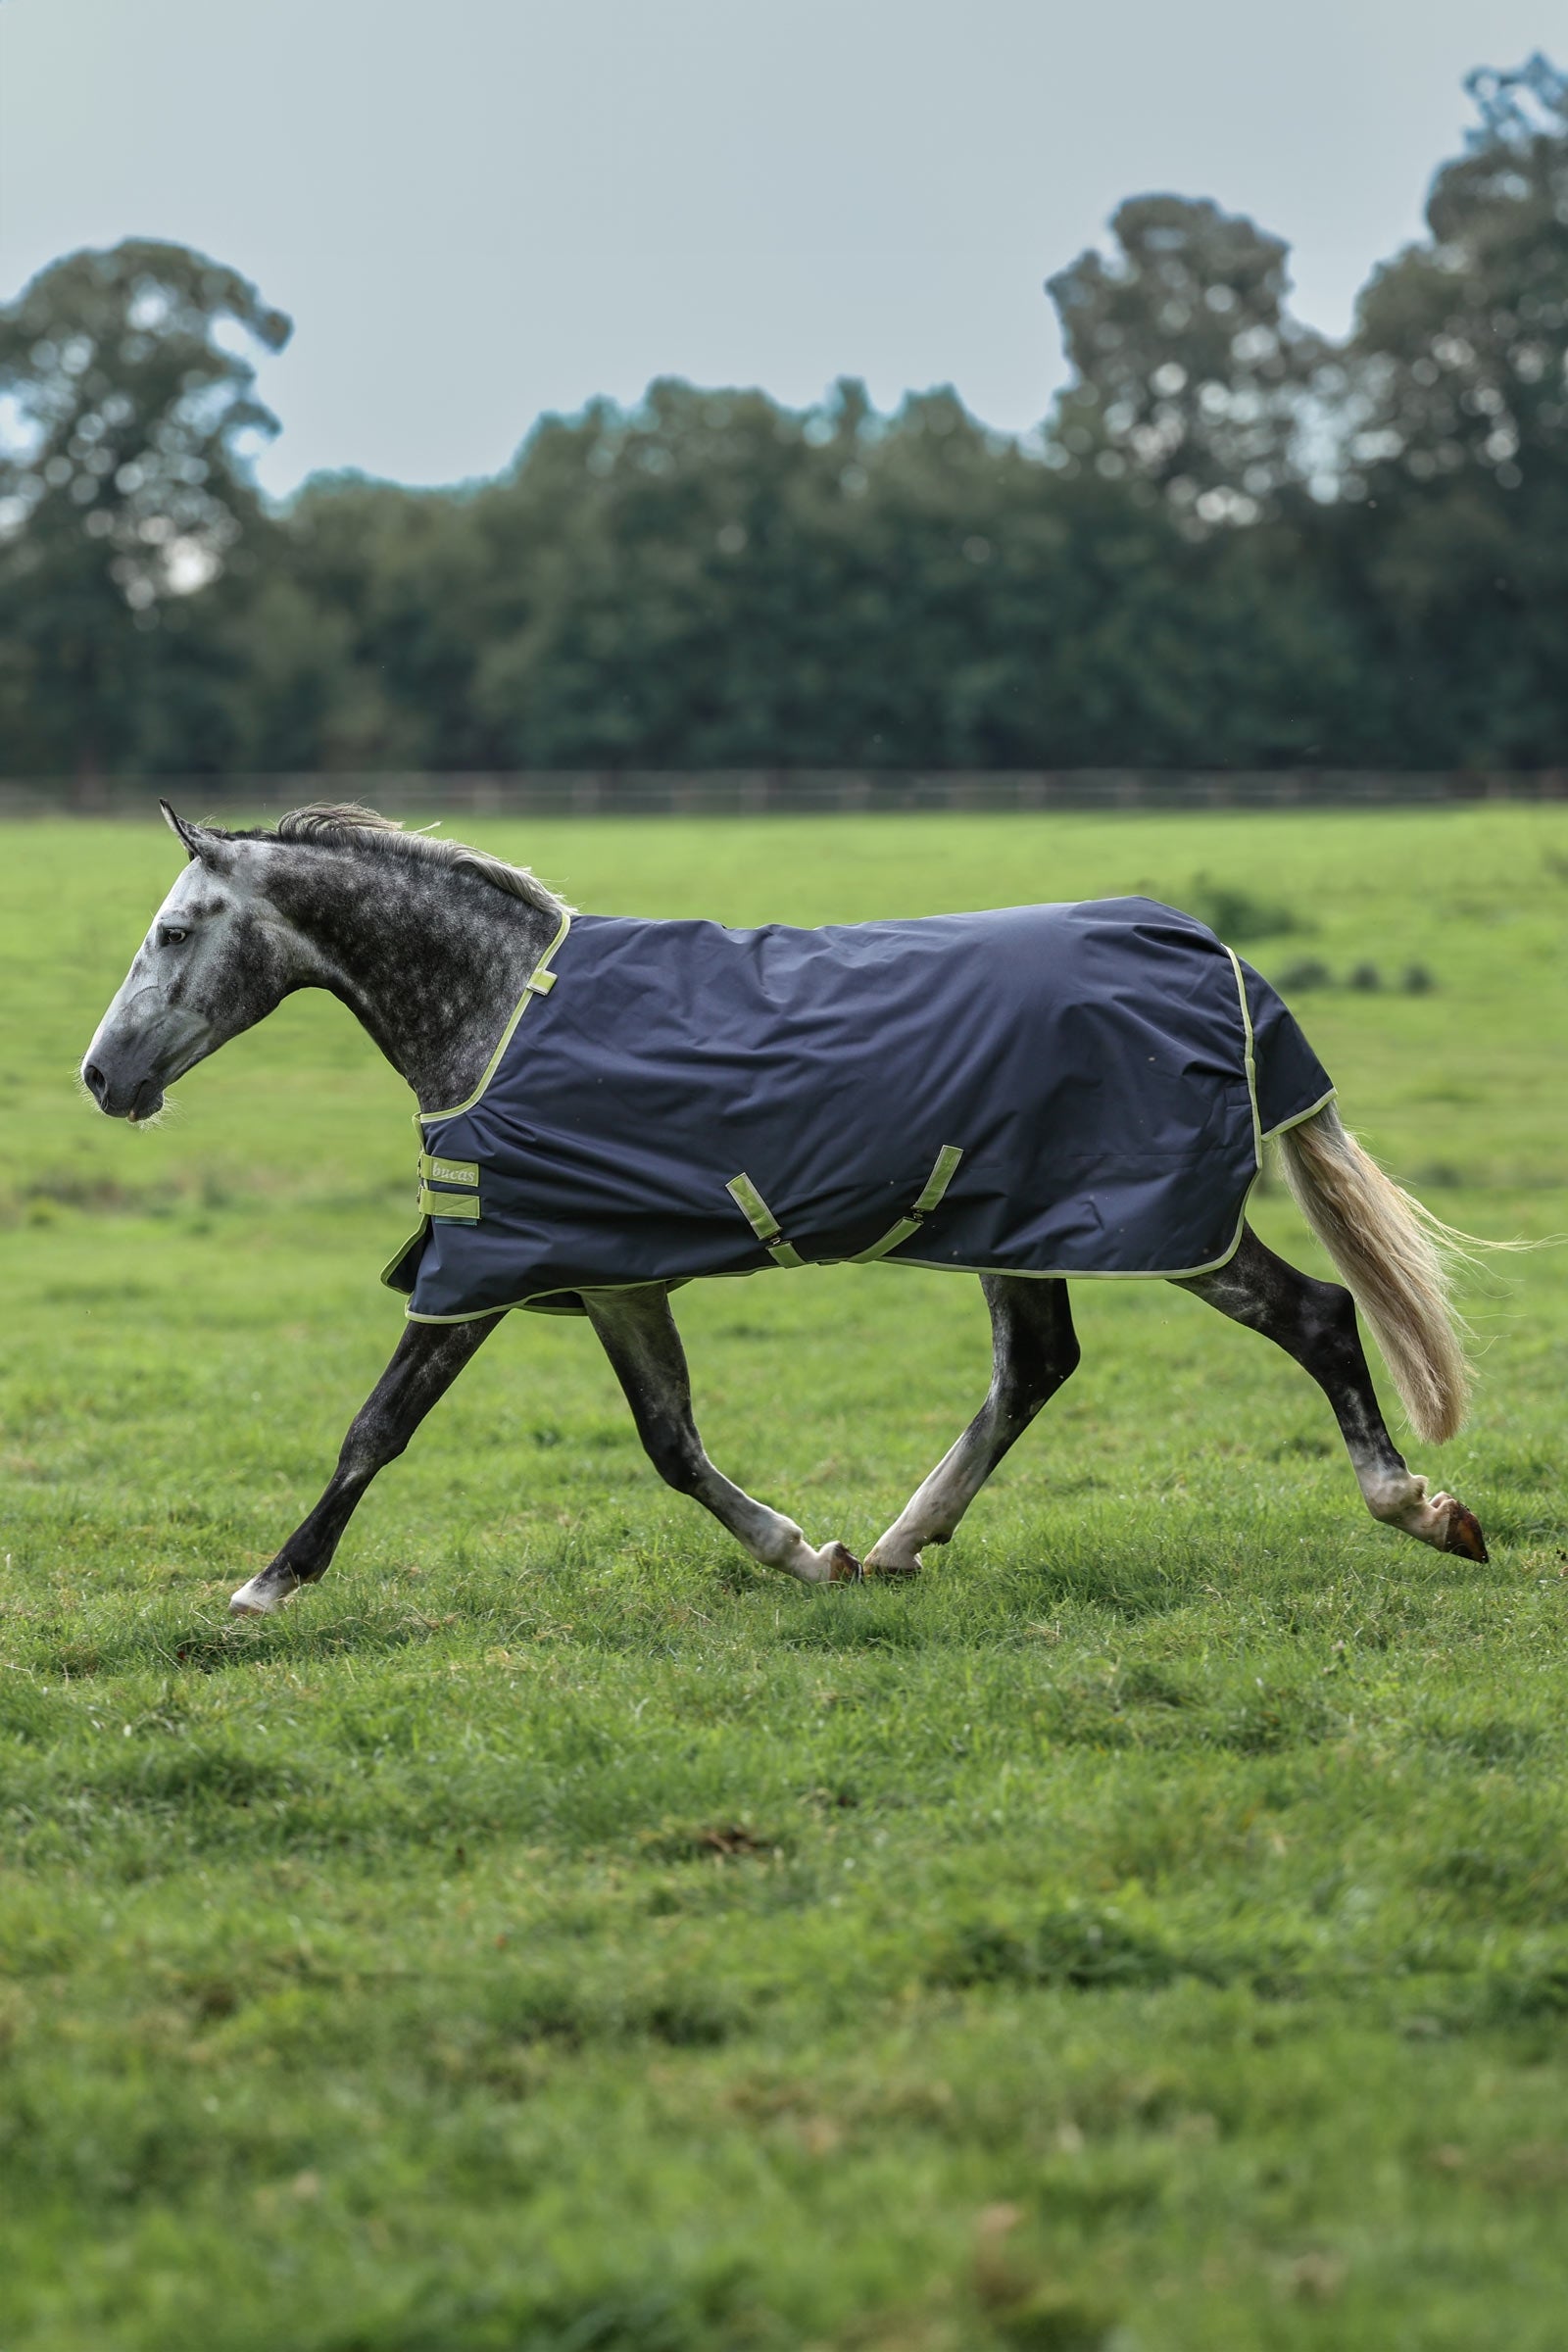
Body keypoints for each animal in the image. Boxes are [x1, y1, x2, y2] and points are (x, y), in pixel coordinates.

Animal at [80, 802, 1489, 1616]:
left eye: (173, 931)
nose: (102, 1077)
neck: (499, 1013)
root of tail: (1216, 955)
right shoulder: (611, 1276)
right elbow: (671, 1443)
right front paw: (808, 1556)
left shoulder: (488, 1267)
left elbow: (376, 1428)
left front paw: (265, 1588)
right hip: (1019, 1229)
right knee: (1035, 1367)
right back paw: (901, 1544)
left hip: (1160, 1227)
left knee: (1316, 1316)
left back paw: (1424, 1510)